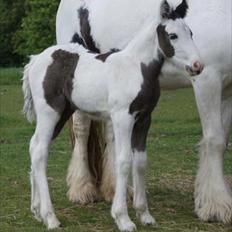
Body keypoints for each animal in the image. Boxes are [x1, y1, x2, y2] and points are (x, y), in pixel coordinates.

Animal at [21, 1, 203, 230]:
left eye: (191, 32)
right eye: (173, 35)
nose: (197, 66)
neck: (136, 67)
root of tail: (35, 60)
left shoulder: (144, 119)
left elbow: (140, 162)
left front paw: (145, 215)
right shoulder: (123, 118)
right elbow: (123, 161)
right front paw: (123, 218)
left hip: (61, 114)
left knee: (34, 145)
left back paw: (36, 211)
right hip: (49, 112)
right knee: (39, 152)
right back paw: (50, 217)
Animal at [56, 0, 232, 226]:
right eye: (174, 36)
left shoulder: (228, 88)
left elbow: (223, 141)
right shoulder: (207, 79)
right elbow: (215, 141)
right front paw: (216, 206)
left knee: (111, 136)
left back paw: (113, 189)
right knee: (81, 130)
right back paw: (81, 189)